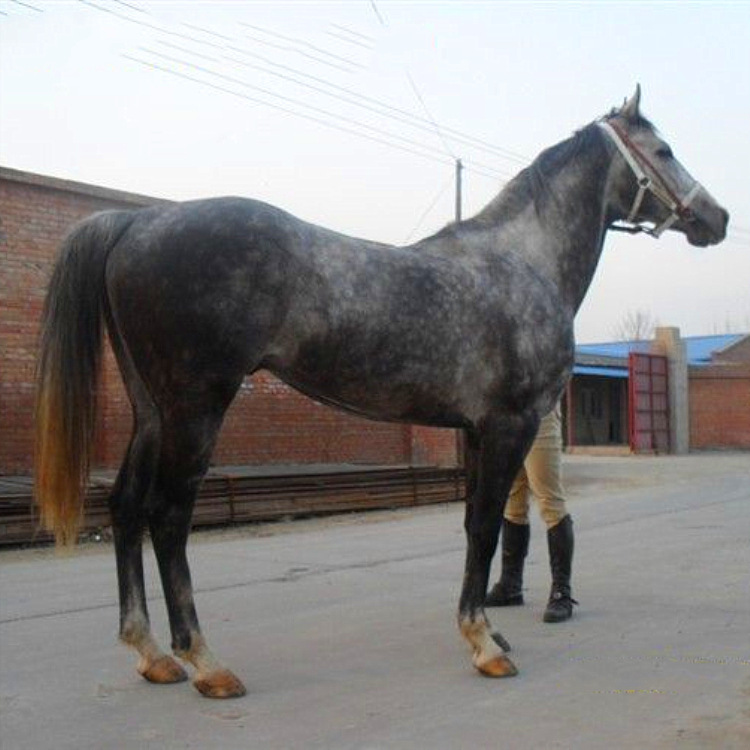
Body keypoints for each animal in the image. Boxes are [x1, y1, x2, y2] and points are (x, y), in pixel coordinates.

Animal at [34, 87, 728, 698]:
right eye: (663, 150)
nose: (717, 219)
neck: (519, 262)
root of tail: (138, 220)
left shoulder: (476, 432)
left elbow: (479, 527)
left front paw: (489, 631)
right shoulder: (510, 424)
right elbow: (484, 525)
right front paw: (483, 645)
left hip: (151, 411)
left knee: (126, 507)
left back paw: (152, 655)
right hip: (195, 409)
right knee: (169, 518)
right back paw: (206, 664)